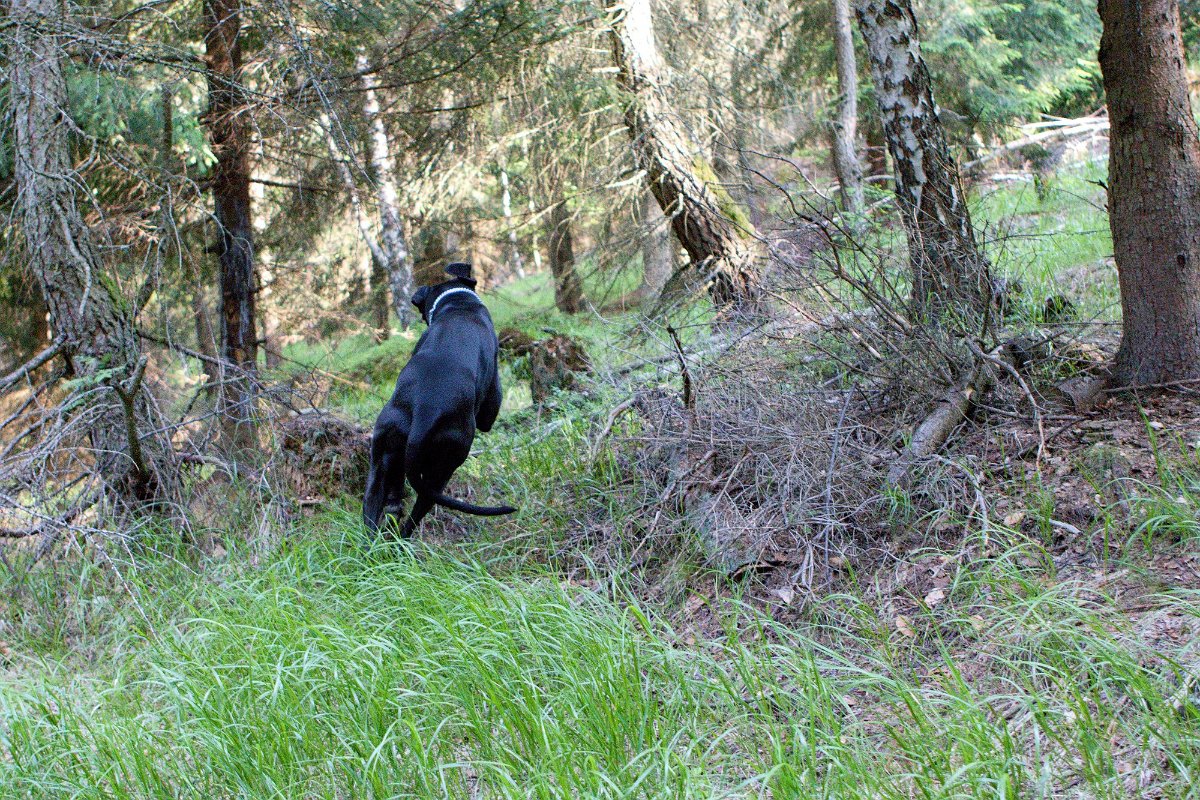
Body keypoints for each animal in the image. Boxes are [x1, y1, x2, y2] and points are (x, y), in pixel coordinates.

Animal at [362, 263, 518, 537]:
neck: (458, 304)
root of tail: (425, 413)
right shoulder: (491, 403)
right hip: (443, 469)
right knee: (415, 516)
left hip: (380, 458)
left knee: (374, 514)